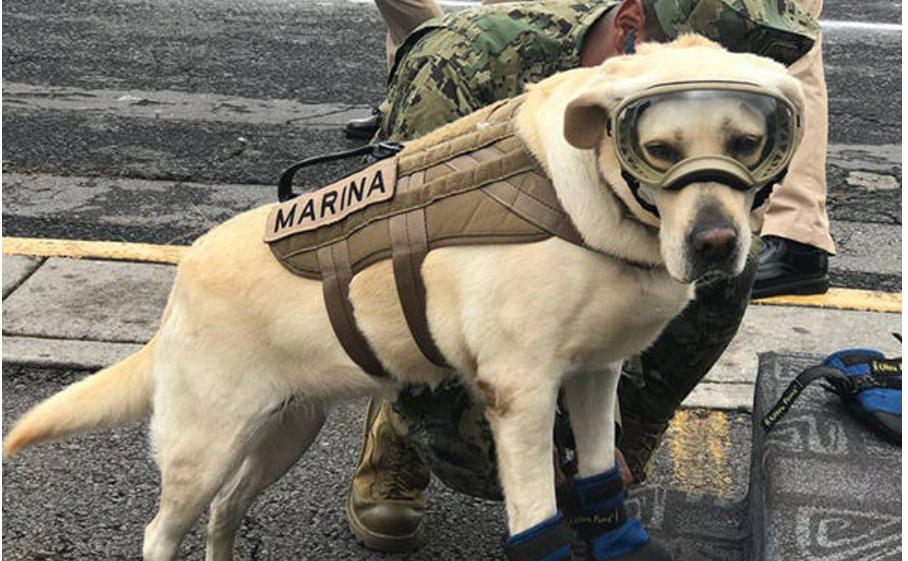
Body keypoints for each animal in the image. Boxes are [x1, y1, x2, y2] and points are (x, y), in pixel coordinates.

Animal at [1, 36, 800, 560]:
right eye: (659, 151)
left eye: (748, 142)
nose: (716, 244)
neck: (590, 200)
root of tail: (180, 284)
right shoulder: (520, 395)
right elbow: (537, 517)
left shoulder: (594, 377)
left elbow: (601, 483)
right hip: (204, 447)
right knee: (161, 530)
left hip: (284, 430)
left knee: (226, 511)